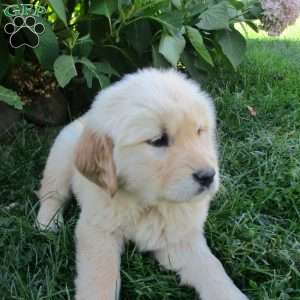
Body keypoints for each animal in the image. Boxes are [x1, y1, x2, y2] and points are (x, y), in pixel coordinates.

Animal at [37, 68, 248, 300]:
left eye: (200, 131)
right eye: (158, 140)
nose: (208, 176)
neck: (147, 204)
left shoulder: (181, 238)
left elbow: (212, 268)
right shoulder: (97, 230)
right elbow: (100, 278)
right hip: (61, 156)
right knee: (51, 193)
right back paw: (47, 223)